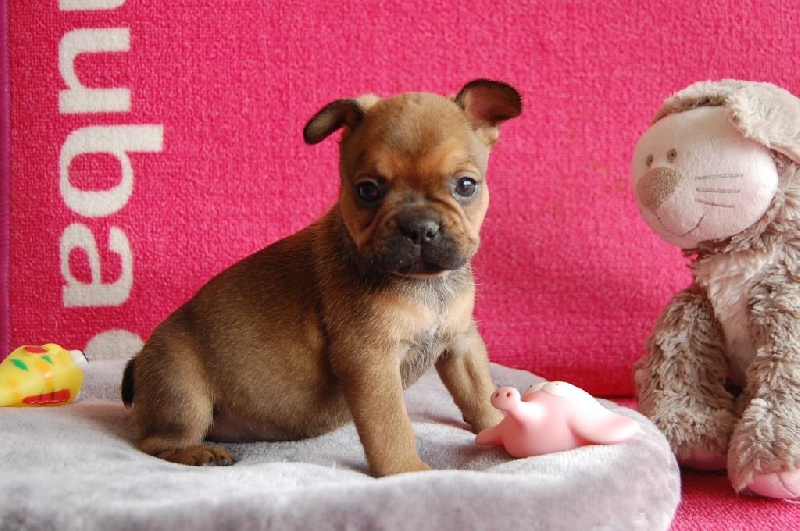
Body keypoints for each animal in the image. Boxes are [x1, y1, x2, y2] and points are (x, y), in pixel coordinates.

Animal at [121, 79, 522, 477]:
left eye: (466, 185)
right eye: (367, 190)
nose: (419, 227)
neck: (425, 283)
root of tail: (138, 363)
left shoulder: (461, 342)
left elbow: (479, 391)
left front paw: (501, 426)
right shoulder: (371, 361)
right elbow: (390, 426)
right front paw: (407, 471)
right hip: (183, 394)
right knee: (154, 442)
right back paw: (197, 453)